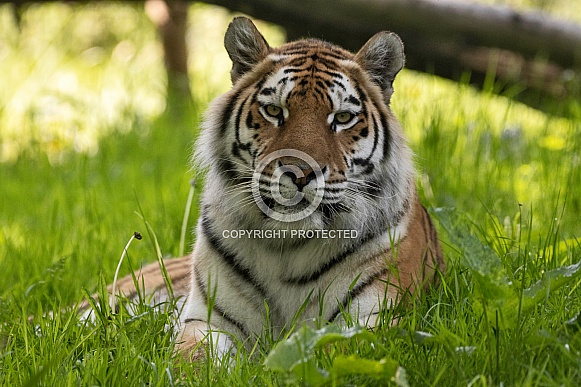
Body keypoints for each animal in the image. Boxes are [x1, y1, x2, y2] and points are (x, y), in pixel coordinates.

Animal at [93, 15, 444, 360]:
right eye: (274, 111)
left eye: (343, 117)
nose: (300, 173)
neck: (286, 249)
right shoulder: (208, 319)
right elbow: (191, 361)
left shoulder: (370, 322)